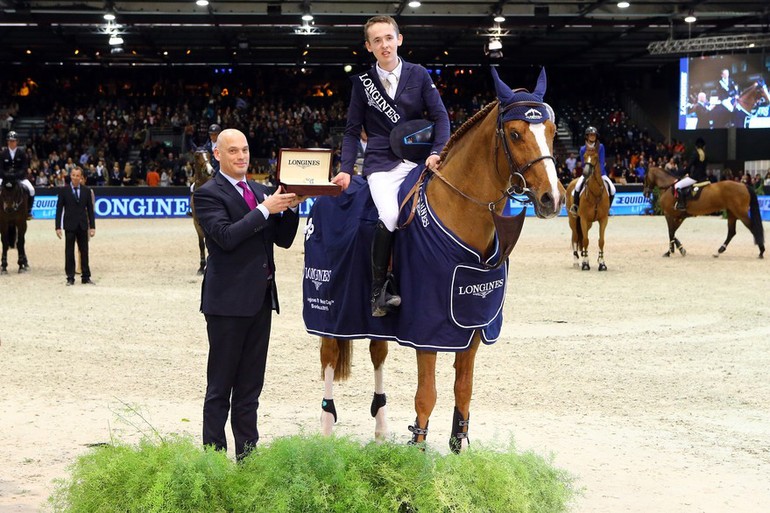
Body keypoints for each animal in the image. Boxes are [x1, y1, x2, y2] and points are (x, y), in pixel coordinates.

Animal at [304, 66, 564, 450]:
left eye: (551, 131)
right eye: (516, 134)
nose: (552, 199)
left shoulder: (471, 324)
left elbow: (464, 389)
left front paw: (459, 445)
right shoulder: (427, 327)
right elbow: (426, 394)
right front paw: (418, 447)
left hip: (373, 319)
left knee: (377, 354)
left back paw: (381, 427)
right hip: (329, 309)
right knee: (328, 359)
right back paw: (324, 428)